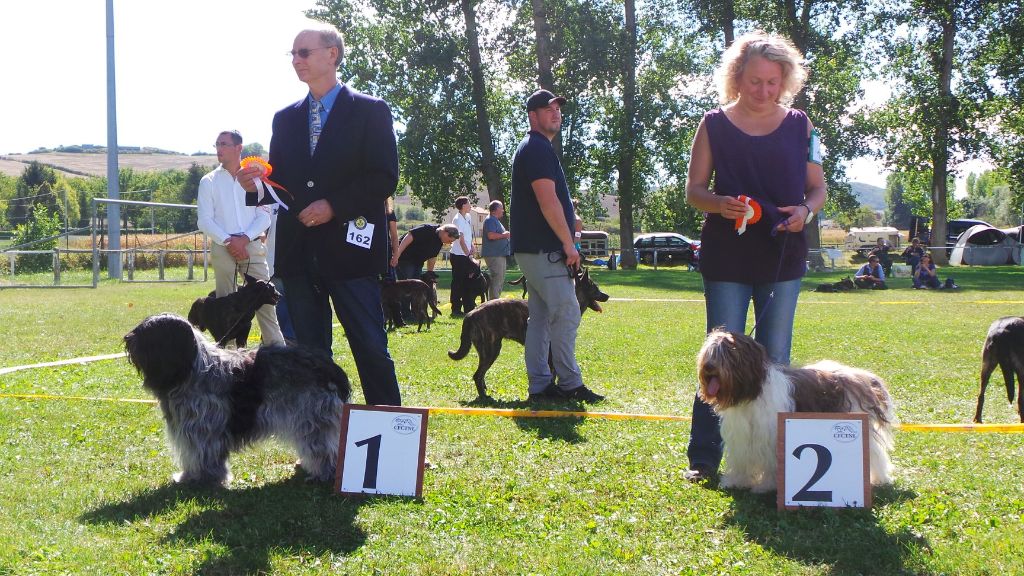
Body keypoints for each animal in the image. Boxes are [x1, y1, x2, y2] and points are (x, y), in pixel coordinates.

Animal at [121, 311, 348, 481]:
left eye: (151, 333)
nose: (127, 339)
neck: (192, 369)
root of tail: (330, 368)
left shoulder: (201, 427)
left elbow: (201, 453)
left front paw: (200, 478)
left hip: (313, 418)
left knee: (324, 447)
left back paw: (326, 474)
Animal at [448, 266, 606, 397]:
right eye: (595, 288)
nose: (607, 296)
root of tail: (470, 314)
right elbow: (552, 374)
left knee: (480, 375)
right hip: (491, 350)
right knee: (477, 375)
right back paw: (484, 397)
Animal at [696, 330, 897, 491]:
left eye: (728, 352)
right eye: (709, 353)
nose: (708, 366)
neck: (750, 394)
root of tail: (859, 377)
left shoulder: (770, 438)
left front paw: (766, 486)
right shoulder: (741, 438)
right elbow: (741, 460)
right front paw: (735, 482)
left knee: (875, 454)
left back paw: (879, 478)